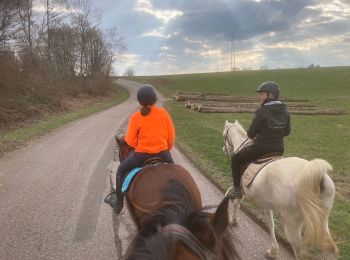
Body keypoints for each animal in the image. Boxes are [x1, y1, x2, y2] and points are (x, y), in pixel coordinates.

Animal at [223, 120, 338, 260]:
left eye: (224, 135)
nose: (224, 150)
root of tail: (317, 176)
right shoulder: (266, 204)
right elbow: (271, 225)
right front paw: (273, 251)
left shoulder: (241, 192)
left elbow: (236, 204)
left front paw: (233, 221)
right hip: (323, 220)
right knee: (330, 249)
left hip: (292, 225)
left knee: (301, 254)